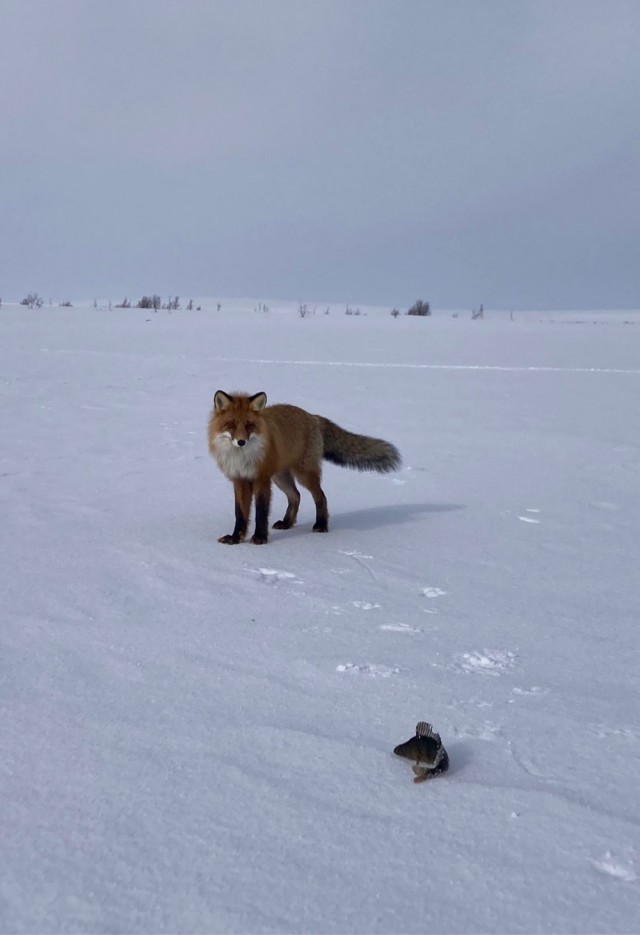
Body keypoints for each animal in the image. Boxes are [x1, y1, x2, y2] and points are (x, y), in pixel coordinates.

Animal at [208, 390, 401, 544]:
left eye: (249, 425)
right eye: (231, 425)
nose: (241, 442)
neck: (242, 458)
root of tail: (313, 416)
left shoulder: (261, 479)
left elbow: (261, 512)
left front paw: (260, 538)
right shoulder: (239, 479)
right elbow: (240, 514)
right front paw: (235, 538)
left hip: (303, 475)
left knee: (320, 496)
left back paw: (321, 525)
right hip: (280, 478)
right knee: (296, 496)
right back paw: (287, 523)